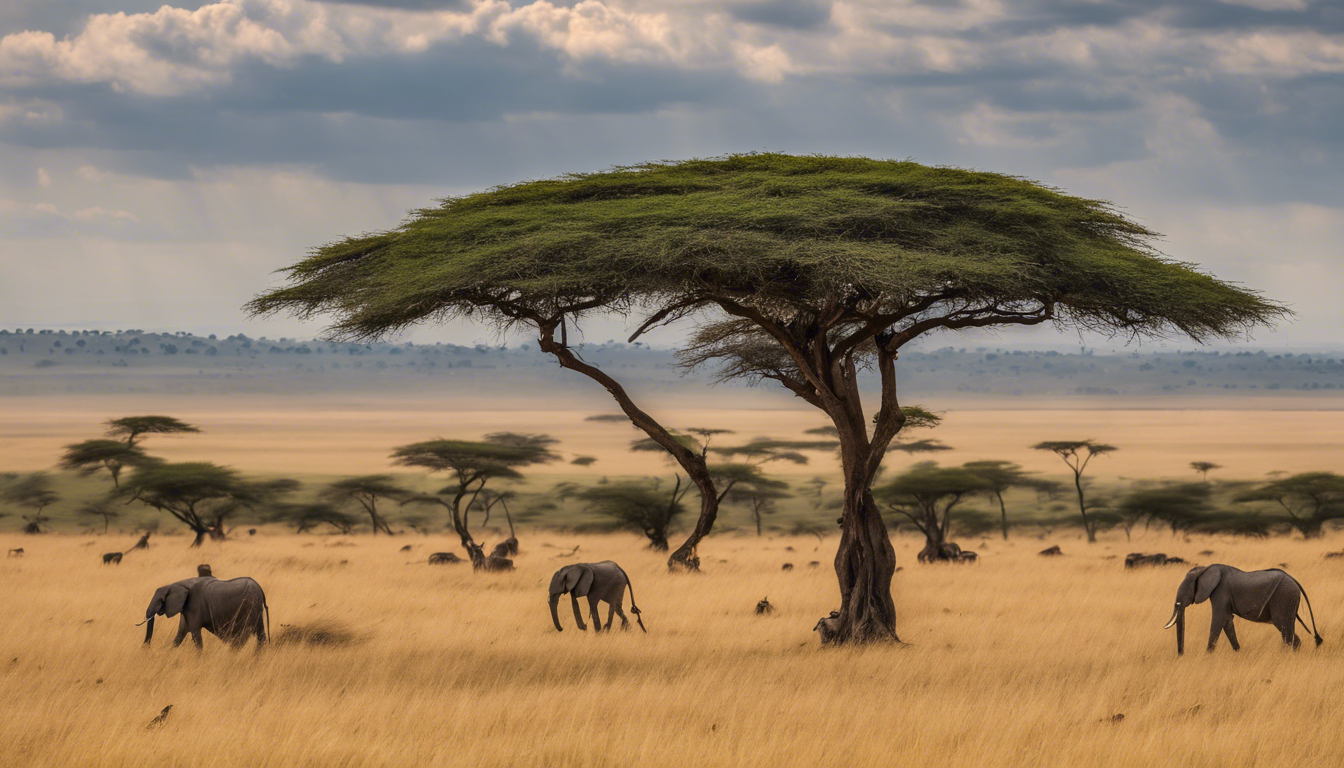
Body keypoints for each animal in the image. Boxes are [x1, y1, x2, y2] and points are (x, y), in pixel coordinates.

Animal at [1166, 564, 1322, 656]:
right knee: (1289, 628)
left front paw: (1208, 655)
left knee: (1283, 626)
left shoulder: (1220, 591)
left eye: (1187, 589)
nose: (1181, 656)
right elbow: (1227, 621)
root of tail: (1294, 580)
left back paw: (1284, 655)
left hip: (1284, 597)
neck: (1204, 569)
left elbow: (1218, 619)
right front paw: (1239, 653)